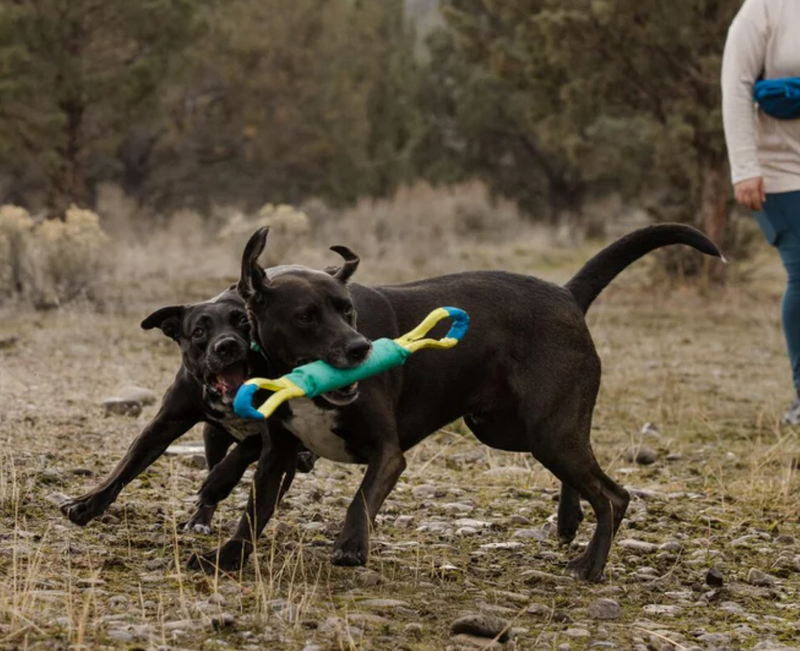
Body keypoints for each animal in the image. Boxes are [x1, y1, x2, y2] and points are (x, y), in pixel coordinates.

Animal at [60, 288, 316, 532]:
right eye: (198, 332)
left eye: (243, 320)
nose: (227, 345)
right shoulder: (163, 425)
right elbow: (124, 468)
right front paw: (86, 504)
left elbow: (248, 445)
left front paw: (218, 482)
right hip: (212, 437)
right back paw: (200, 520)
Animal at [194, 224, 724, 580]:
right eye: (306, 316)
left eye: (348, 311)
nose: (362, 349)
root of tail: (567, 294)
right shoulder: (277, 455)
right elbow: (253, 512)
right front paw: (228, 555)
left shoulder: (388, 454)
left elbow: (361, 499)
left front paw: (350, 546)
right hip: (511, 430)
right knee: (585, 478)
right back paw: (569, 519)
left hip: (548, 430)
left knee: (614, 495)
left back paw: (590, 564)